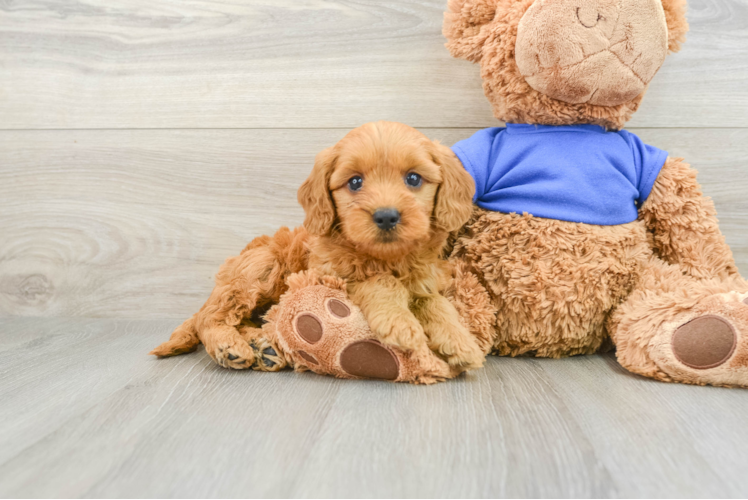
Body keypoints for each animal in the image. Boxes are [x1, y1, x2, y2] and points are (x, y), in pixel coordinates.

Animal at [152, 122, 486, 368]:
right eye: (355, 182)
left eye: (414, 179)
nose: (386, 216)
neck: (386, 257)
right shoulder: (331, 275)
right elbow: (381, 282)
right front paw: (400, 323)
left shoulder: (424, 281)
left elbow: (436, 304)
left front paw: (460, 341)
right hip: (258, 268)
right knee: (209, 317)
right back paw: (229, 345)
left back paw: (262, 345)